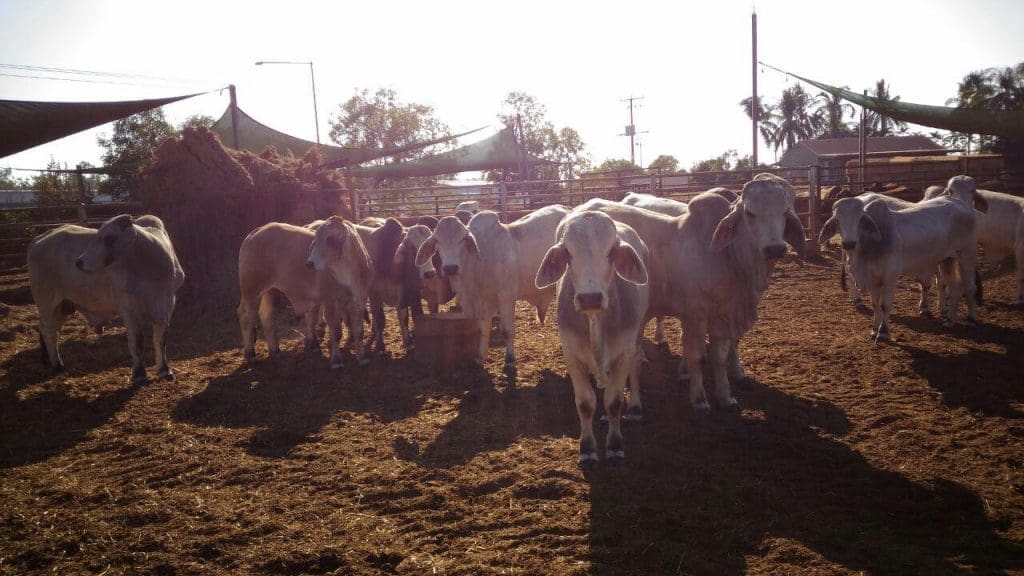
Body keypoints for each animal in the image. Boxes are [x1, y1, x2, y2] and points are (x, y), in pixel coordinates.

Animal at [29, 213, 186, 383]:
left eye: (109, 238)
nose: (79, 262)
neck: (151, 268)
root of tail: (39, 239)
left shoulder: (166, 304)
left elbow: (161, 340)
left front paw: (164, 370)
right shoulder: (129, 308)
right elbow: (137, 342)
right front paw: (139, 374)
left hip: (62, 305)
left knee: (48, 328)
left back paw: (47, 360)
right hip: (46, 301)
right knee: (49, 331)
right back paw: (57, 365)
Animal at [415, 203, 569, 368]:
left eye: (463, 239)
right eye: (437, 240)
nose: (451, 268)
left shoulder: (506, 296)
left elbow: (507, 330)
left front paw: (510, 360)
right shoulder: (484, 300)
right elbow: (483, 328)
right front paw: (480, 356)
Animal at [536, 211, 647, 467]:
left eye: (610, 251)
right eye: (568, 253)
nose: (590, 298)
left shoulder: (624, 351)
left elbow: (614, 401)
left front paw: (615, 445)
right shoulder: (571, 354)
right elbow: (586, 403)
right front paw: (587, 448)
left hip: (637, 337)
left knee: (635, 367)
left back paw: (635, 406)